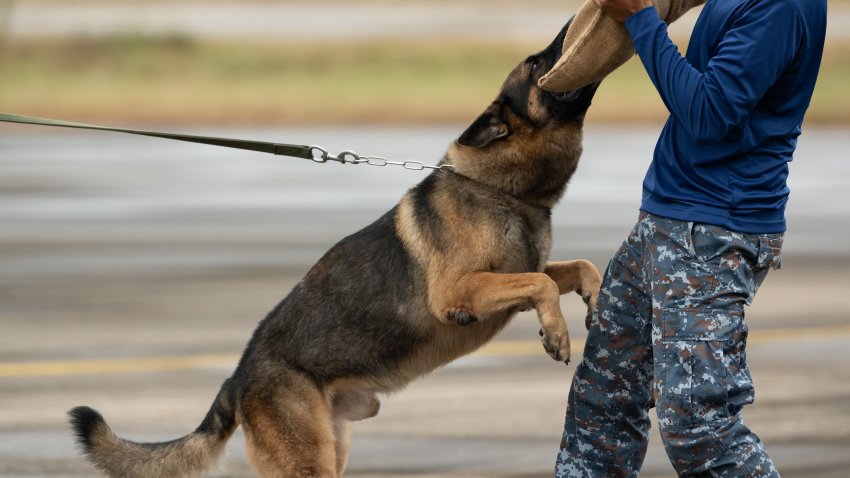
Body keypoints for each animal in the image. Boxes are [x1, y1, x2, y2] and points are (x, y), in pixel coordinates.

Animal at [69, 16, 600, 476]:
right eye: (535, 63)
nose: (573, 22)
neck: (502, 190)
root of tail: (237, 379)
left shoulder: (521, 272)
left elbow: (578, 267)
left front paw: (595, 303)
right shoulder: (459, 292)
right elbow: (541, 284)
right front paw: (557, 334)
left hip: (332, 449)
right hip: (309, 462)